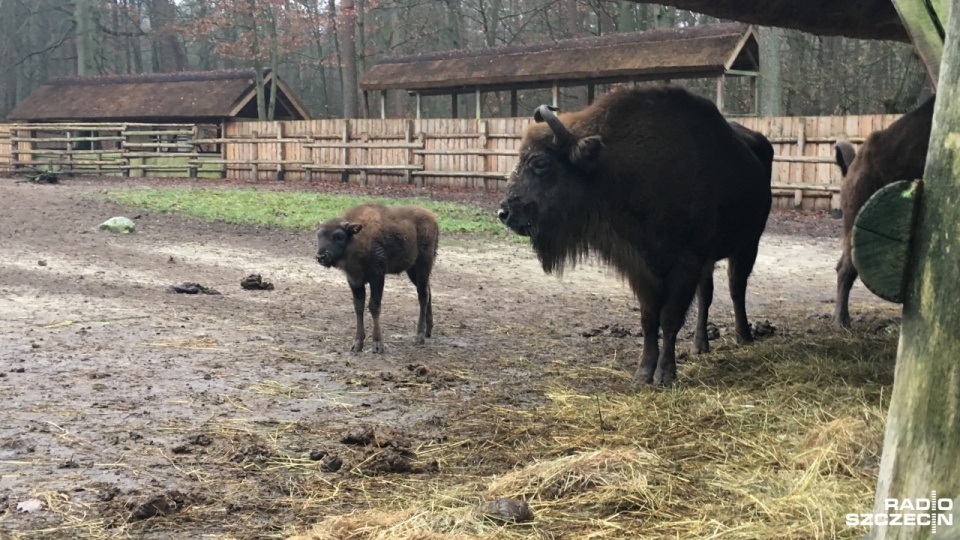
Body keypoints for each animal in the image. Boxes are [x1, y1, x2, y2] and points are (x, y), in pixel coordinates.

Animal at [316, 204, 438, 354]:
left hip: (423, 264)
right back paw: (428, 330)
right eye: (319, 235)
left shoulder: (377, 277)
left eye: (339, 236)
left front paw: (378, 344)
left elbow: (374, 306)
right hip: (412, 270)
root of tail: (432, 217)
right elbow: (359, 307)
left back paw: (419, 336)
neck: (356, 238)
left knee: (423, 294)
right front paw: (357, 344)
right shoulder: (354, 281)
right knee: (428, 289)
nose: (321, 256)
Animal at [496, 86, 772, 386]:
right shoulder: (642, 267)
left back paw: (744, 336)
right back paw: (701, 345)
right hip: (710, 260)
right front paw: (643, 373)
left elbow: (670, 319)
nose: (504, 212)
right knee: (707, 294)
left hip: (748, 244)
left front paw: (665, 374)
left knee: (736, 287)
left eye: (540, 163)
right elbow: (649, 319)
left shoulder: (685, 263)